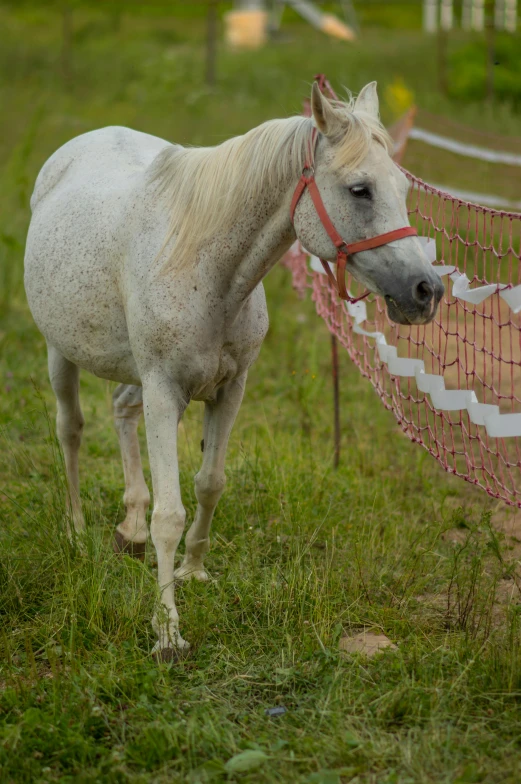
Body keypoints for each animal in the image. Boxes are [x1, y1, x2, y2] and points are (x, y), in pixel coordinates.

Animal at [25, 82, 442, 660]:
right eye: (359, 190)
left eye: (401, 186)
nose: (426, 292)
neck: (205, 267)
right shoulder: (164, 391)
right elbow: (170, 514)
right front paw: (167, 632)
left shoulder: (229, 390)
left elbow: (209, 484)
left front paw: (194, 572)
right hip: (60, 353)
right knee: (71, 430)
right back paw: (77, 530)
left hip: (134, 376)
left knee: (121, 414)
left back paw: (128, 528)